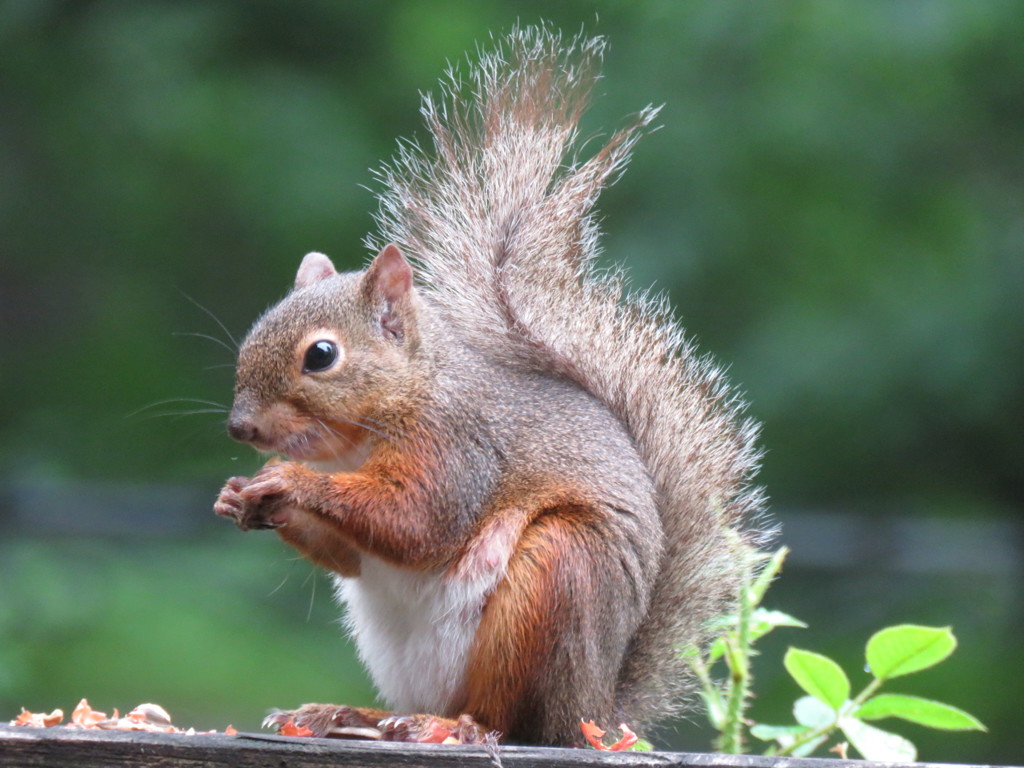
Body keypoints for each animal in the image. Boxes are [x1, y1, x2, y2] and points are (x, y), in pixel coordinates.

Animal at [214, 27, 761, 749]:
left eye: (321, 356)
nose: (240, 429)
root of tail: (593, 713)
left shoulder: (459, 449)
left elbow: (416, 521)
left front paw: (287, 480)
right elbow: (351, 554)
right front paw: (241, 498)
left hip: (555, 579)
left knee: (507, 717)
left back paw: (454, 727)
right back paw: (352, 715)